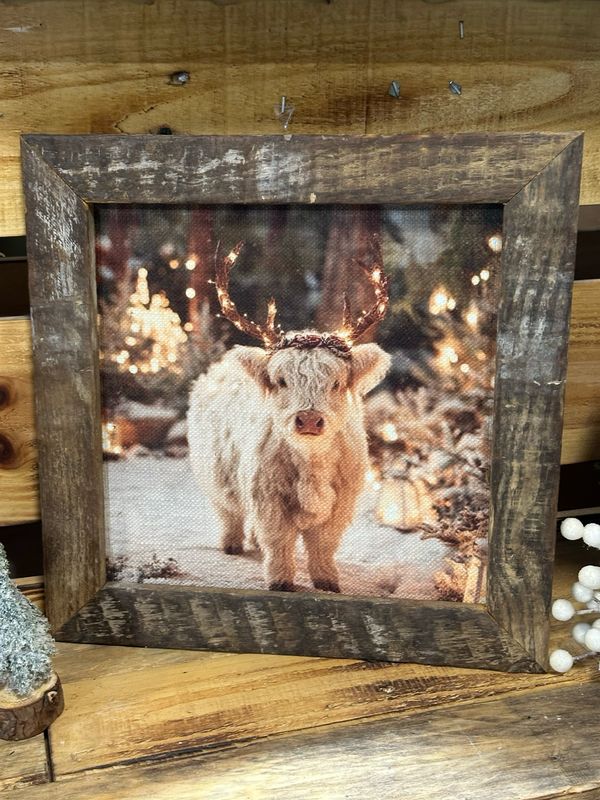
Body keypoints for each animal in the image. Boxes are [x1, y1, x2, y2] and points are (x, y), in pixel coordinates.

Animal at [187, 237, 391, 593]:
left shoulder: (340, 504)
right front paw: (281, 581)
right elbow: (279, 541)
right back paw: (232, 544)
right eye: (281, 380)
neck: (311, 468)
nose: (308, 420)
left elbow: (324, 544)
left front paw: (327, 581)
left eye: (336, 383)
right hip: (215, 476)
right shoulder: (268, 499)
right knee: (229, 512)